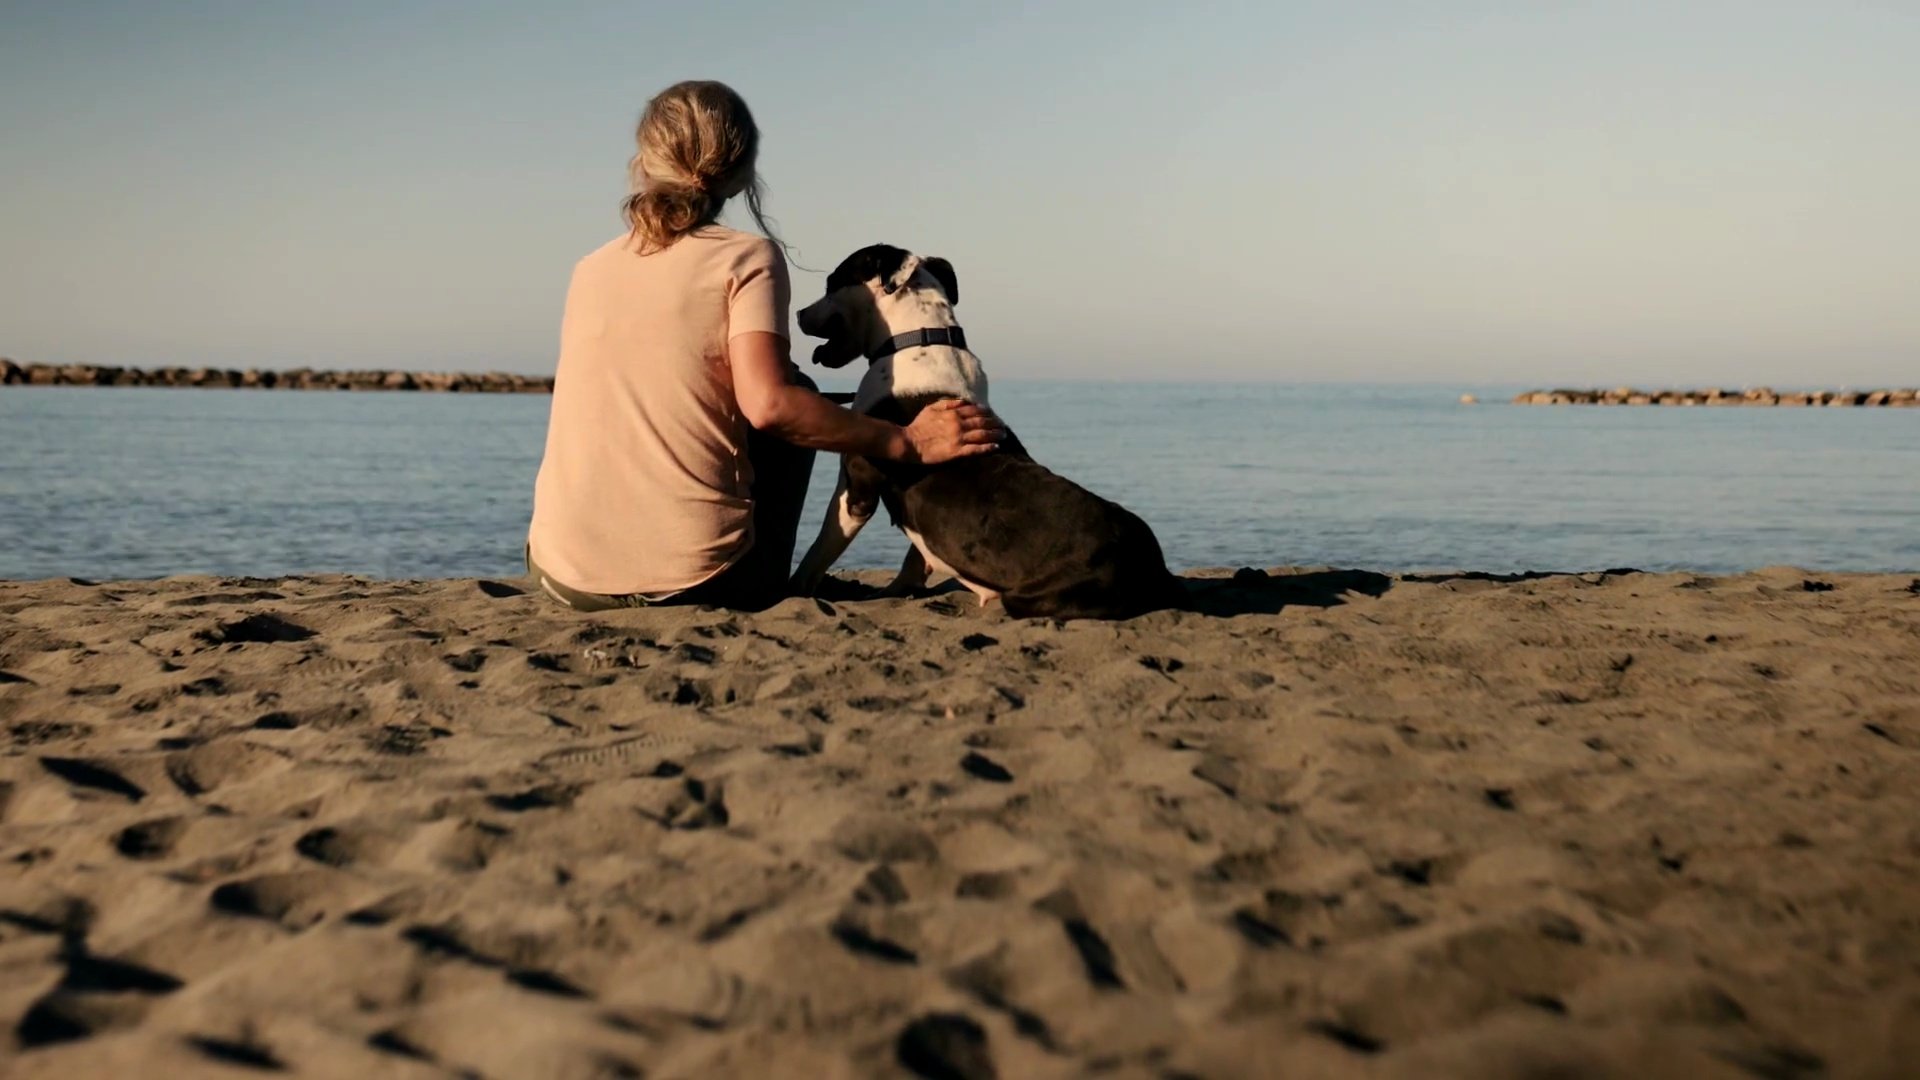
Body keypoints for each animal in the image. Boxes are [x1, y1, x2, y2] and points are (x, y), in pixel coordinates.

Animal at [787, 240, 1175, 618]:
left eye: (831, 283)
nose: (798, 313)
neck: (919, 338)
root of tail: (1151, 570)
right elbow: (916, 557)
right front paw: (898, 590)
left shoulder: (857, 488)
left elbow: (817, 554)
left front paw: (795, 589)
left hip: (1029, 596)